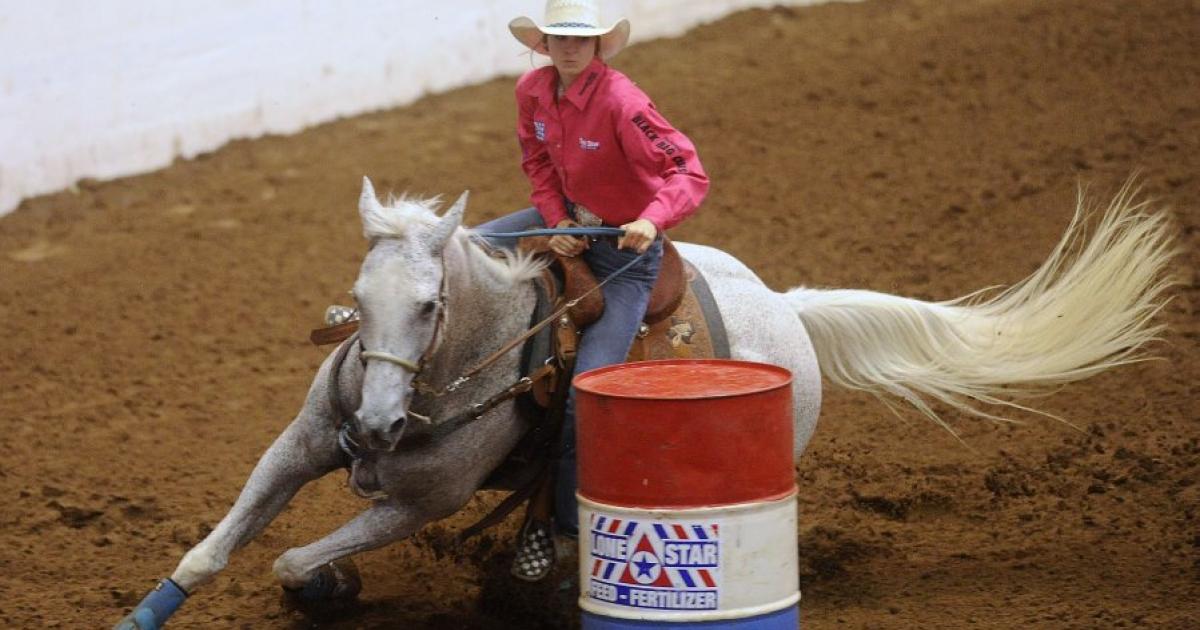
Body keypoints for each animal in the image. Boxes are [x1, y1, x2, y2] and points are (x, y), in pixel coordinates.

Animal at [114, 175, 1171, 624]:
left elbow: (294, 556)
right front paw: (149, 612)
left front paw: (330, 587)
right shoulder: (298, 445)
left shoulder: (419, 504)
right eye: (357, 298)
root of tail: (789, 308)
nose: (374, 426)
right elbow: (213, 552)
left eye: (430, 304)